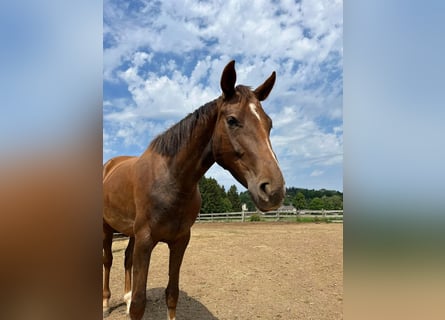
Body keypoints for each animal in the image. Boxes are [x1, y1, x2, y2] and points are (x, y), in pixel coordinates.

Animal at [103, 60, 284, 320]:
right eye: (232, 120)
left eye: (269, 124)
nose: (274, 189)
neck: (171, 181)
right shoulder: (145, 241)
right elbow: (139, 303)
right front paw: (130, 303)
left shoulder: (179, 241)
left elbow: (172, 294)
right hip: (107, 228)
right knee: (108, 261)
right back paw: (106, 303)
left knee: (126, 259)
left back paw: (124, 298)